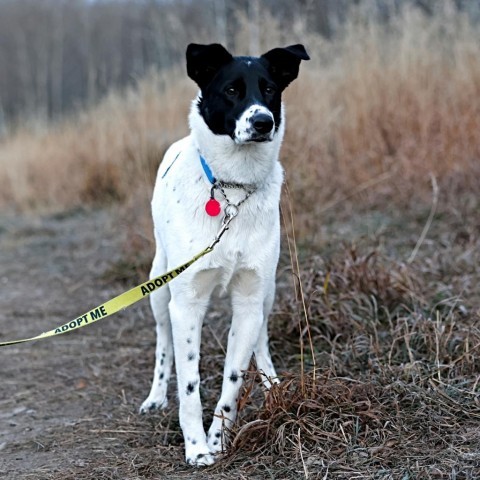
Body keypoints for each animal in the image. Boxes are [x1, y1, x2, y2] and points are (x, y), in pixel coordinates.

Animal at [139, 42, 312, 464]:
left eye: (270, 89)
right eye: (232, 90)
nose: (263, 122)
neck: (232, 188)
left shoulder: (249, 299)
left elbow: (233, 379)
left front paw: (219, 438)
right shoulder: (186, 303)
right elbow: (189, 384)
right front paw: (197, 446)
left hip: (267, 293)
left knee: (261, 340)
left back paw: (271, 383)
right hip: (159, 288)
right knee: (163, 344)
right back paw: (155, 397)